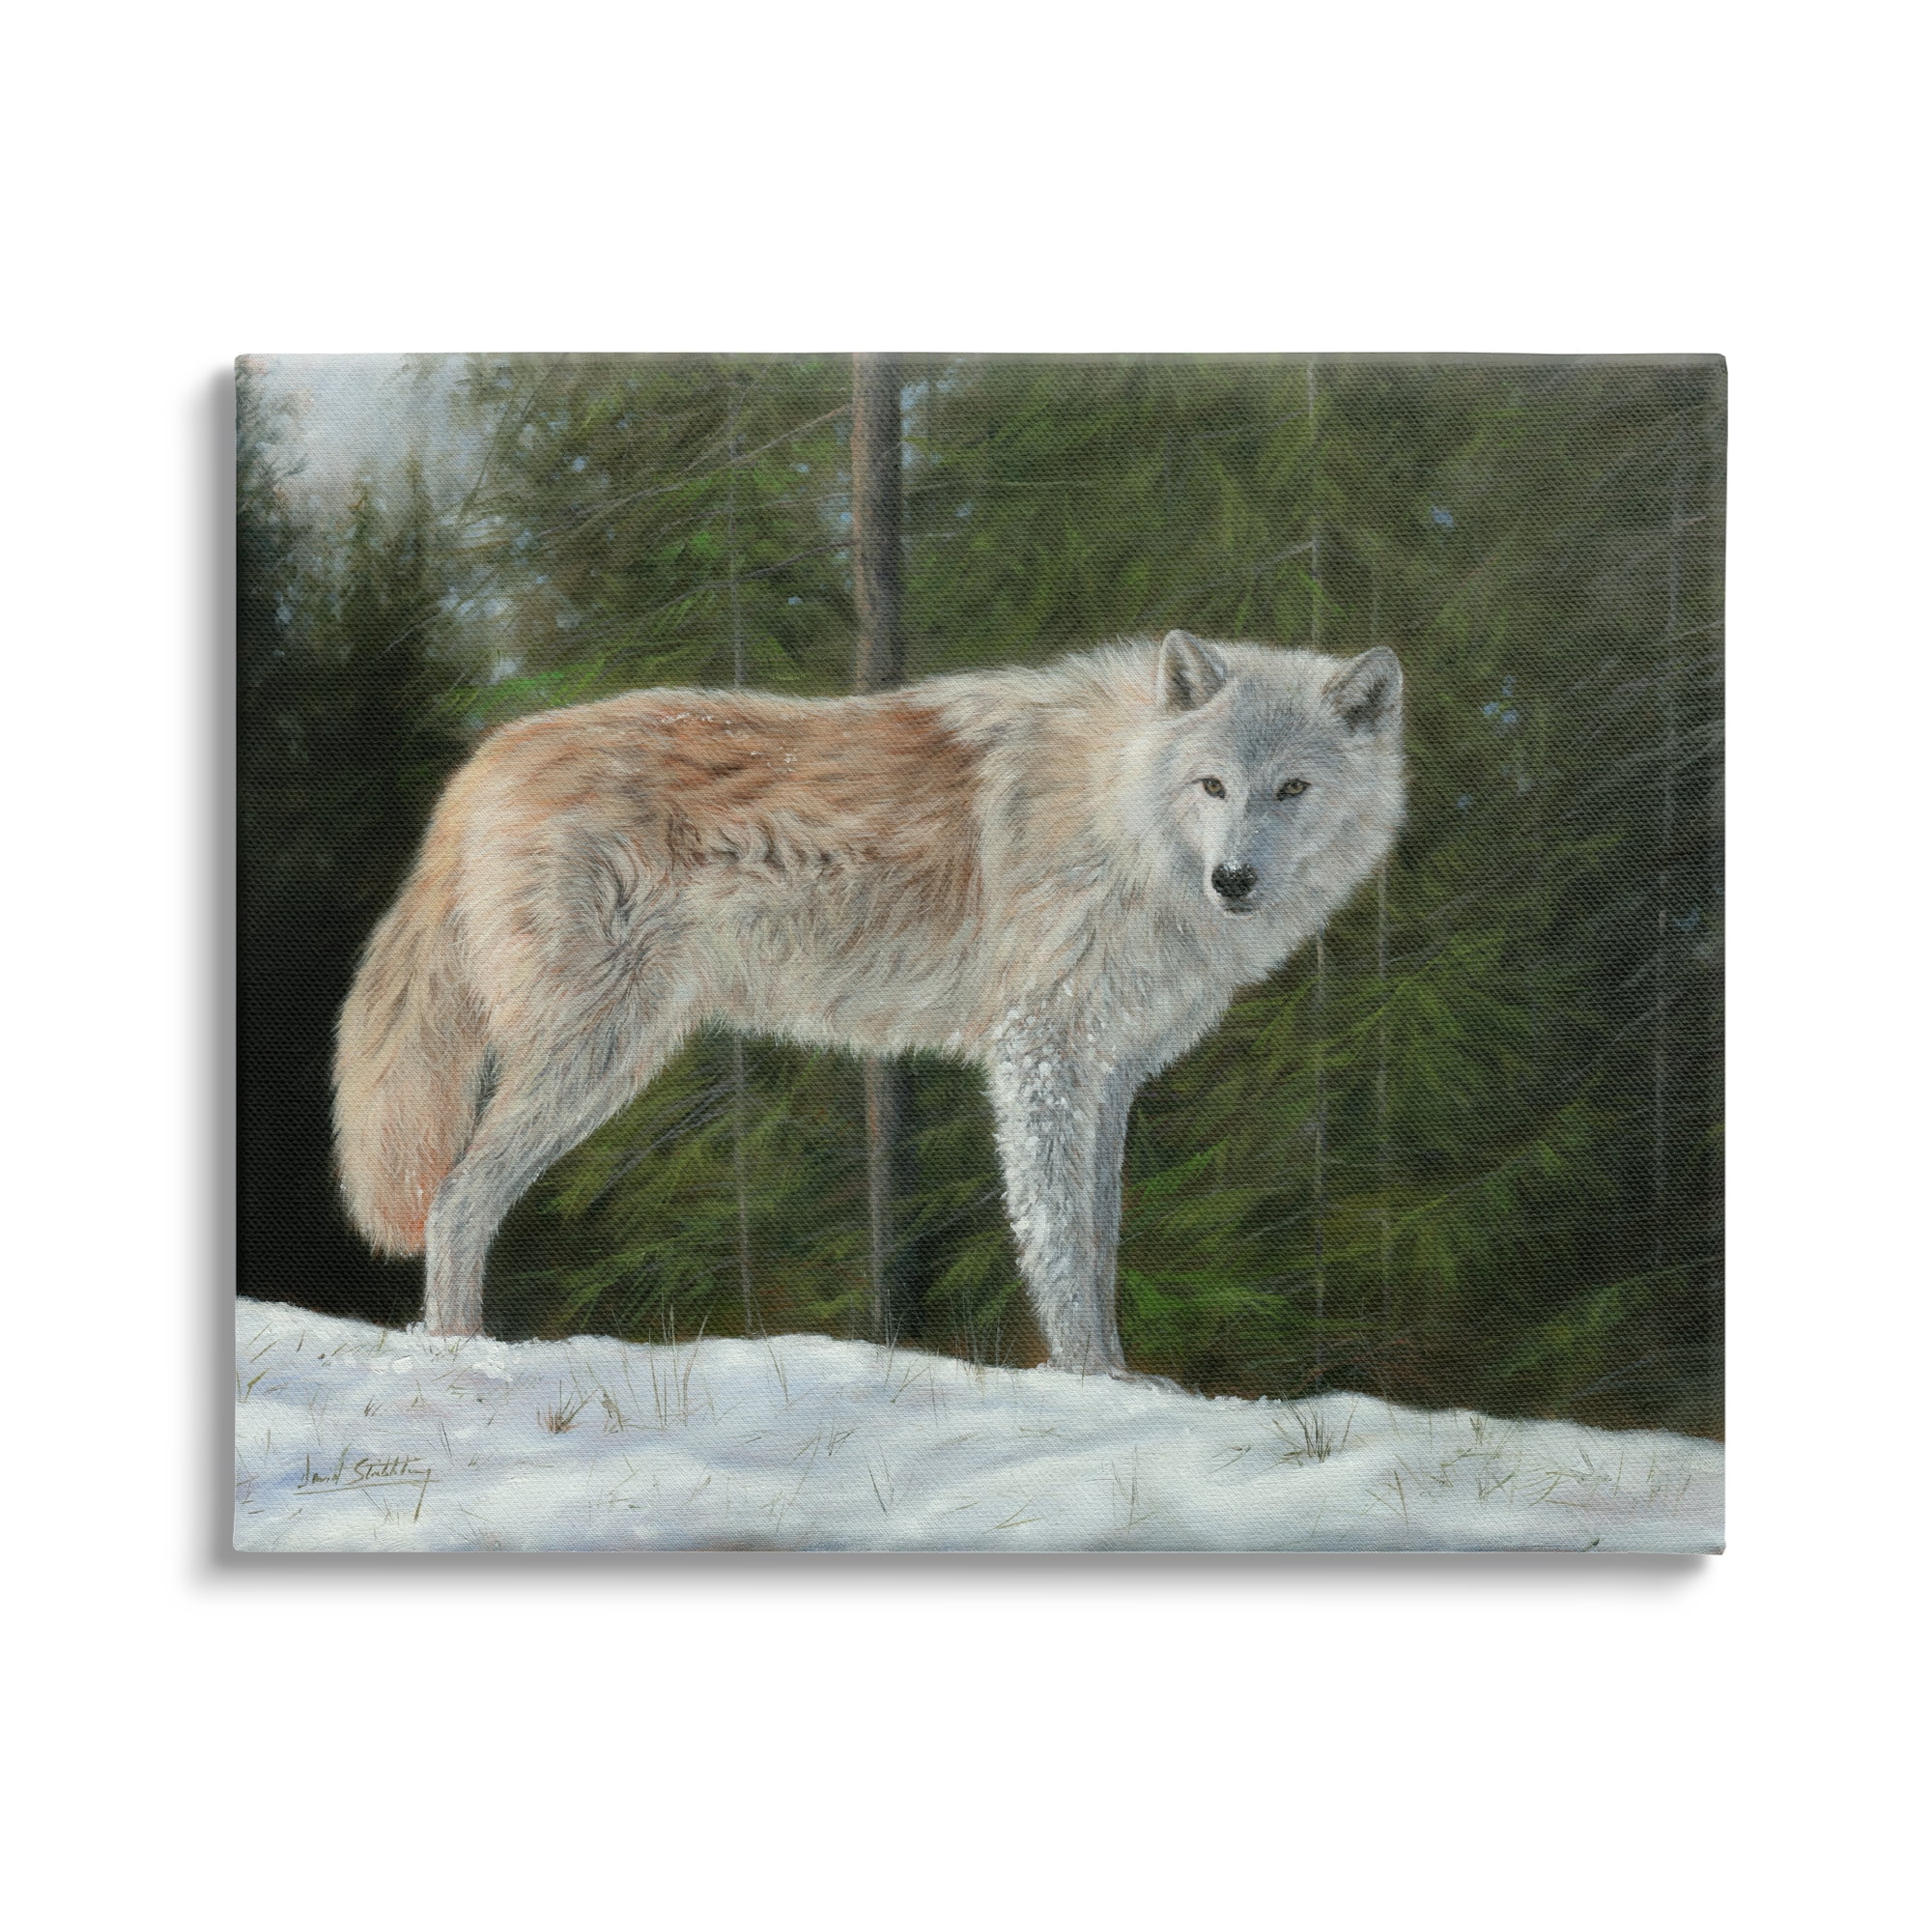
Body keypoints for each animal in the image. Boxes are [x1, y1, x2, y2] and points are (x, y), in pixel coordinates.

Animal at [334, 630, 1404, 1377]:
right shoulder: (1039, 1054)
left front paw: (1120, 1379)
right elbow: (1060, 1243)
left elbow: (1099, 1241)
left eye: (1292, 788)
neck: (1119, 810)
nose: (1234, 880)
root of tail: (485, 761)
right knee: (456, 1198)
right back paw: (463, 1357)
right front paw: (1092, 1382)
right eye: (1212, 784)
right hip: (594, 1057)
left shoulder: (1109, 1072)